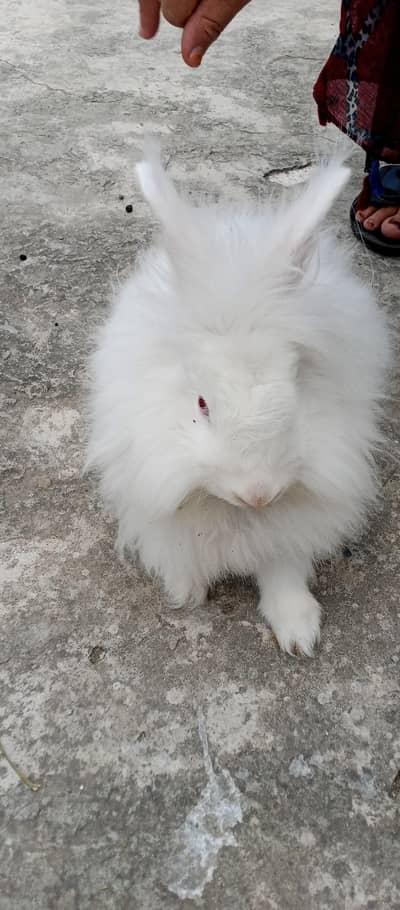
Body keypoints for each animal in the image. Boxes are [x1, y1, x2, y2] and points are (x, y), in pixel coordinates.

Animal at [86, 146, 390, 656]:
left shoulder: (293, 524)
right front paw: (185, 592)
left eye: (296, 386)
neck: (233, 512)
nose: (258, 493)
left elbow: (284, 571)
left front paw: (299, 632)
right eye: (202, 404)